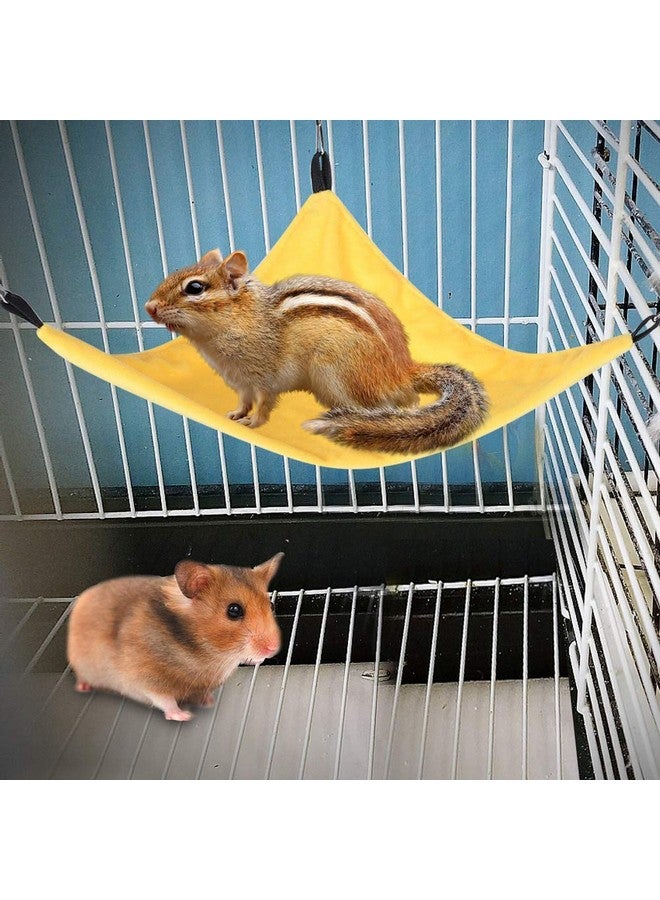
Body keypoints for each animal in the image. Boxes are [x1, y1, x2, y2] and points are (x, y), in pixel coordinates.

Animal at [66, 552, 283, 721]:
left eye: (271, 605)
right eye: (234, 610)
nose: (273, 648)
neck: (211, 654)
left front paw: (208, 702)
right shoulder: (145, 677)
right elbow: (165, 699)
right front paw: (184, 716)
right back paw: (83, 687)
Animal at [144, 249, 488, 455]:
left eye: (195, 288)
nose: (149, 307)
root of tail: (403, 370)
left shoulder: (264, 377)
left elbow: (264, 403)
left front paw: (254, 423)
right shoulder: (241, 382)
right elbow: (243, 400)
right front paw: (236, 415)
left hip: (336, 375)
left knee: (389, 405)